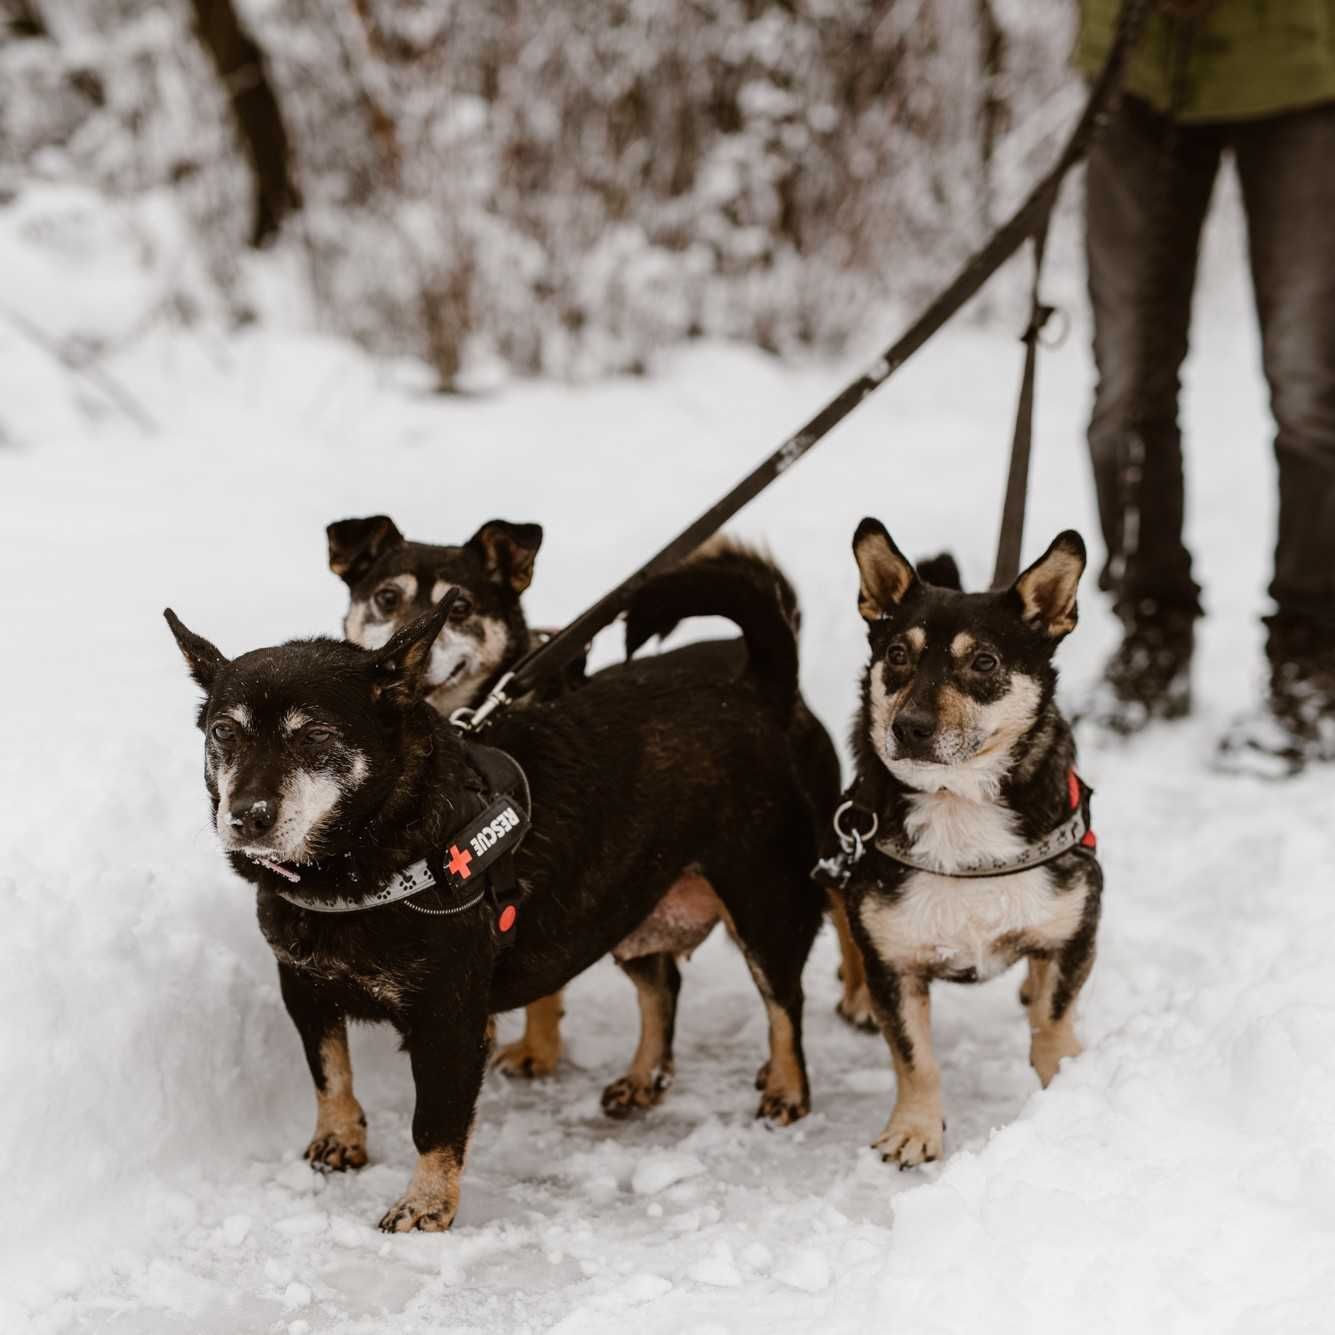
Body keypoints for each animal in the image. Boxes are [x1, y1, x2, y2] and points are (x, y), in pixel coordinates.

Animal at [166, 542, 833, 1228]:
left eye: (317, 735)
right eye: (224, 731)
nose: (246, 815)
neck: (358, 859)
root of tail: (758, 689)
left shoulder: (450, 1017)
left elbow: (434, 1122)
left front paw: (426, 1204)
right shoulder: (304, 988)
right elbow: (329, 1073)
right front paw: (338, 1138)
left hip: (764, 899)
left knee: (784, 1002)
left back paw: (787, 1088)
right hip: (621, 898)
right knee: (662, 984)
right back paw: (645, 1078)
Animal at [838, 520, 1100, 1169]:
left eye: (984, 661)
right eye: (897, 655)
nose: (908, 728)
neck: (957, 802)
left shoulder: (1078, 921)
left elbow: (1053, 1023)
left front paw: (1063, 1095)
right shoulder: (894, 965)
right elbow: (915, 1058)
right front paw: (914, 1129)